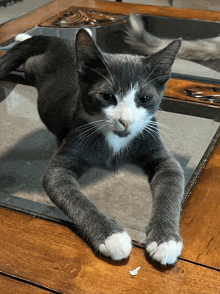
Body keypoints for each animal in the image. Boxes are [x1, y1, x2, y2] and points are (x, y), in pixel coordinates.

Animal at [0, 25, 185, 266]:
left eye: (144, 98)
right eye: (107, 96)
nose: (126, 121)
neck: (117, 139)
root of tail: (58, 42)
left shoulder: (154, 145)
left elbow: (172, 183)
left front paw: (166, 240)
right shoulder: (71, 147)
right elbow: (72, 196)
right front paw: (111, 237)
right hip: (33, 69)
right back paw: (23, 36)